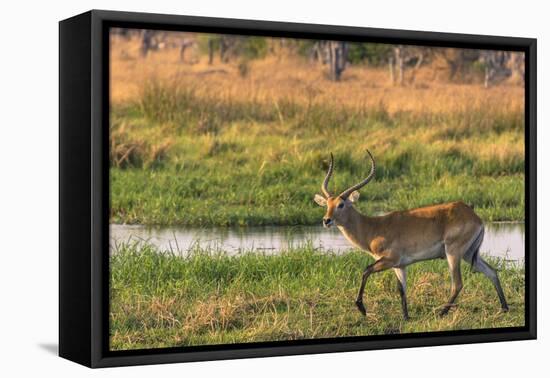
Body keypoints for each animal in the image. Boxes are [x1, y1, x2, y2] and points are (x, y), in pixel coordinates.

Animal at [312, 151, 512, 318]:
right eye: (327, 204)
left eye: (341, 204)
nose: (326, 220)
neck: (373, 228)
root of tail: (474, 216)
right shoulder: (399, 265)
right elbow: (402, 289)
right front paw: (406, 317)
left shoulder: (389, 260)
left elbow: (365, 270)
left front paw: (361, 308)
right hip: (469, 254)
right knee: (491, 271)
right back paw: (504, 308)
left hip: (453, 253)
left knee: (458, 283)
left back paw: (442, 312)